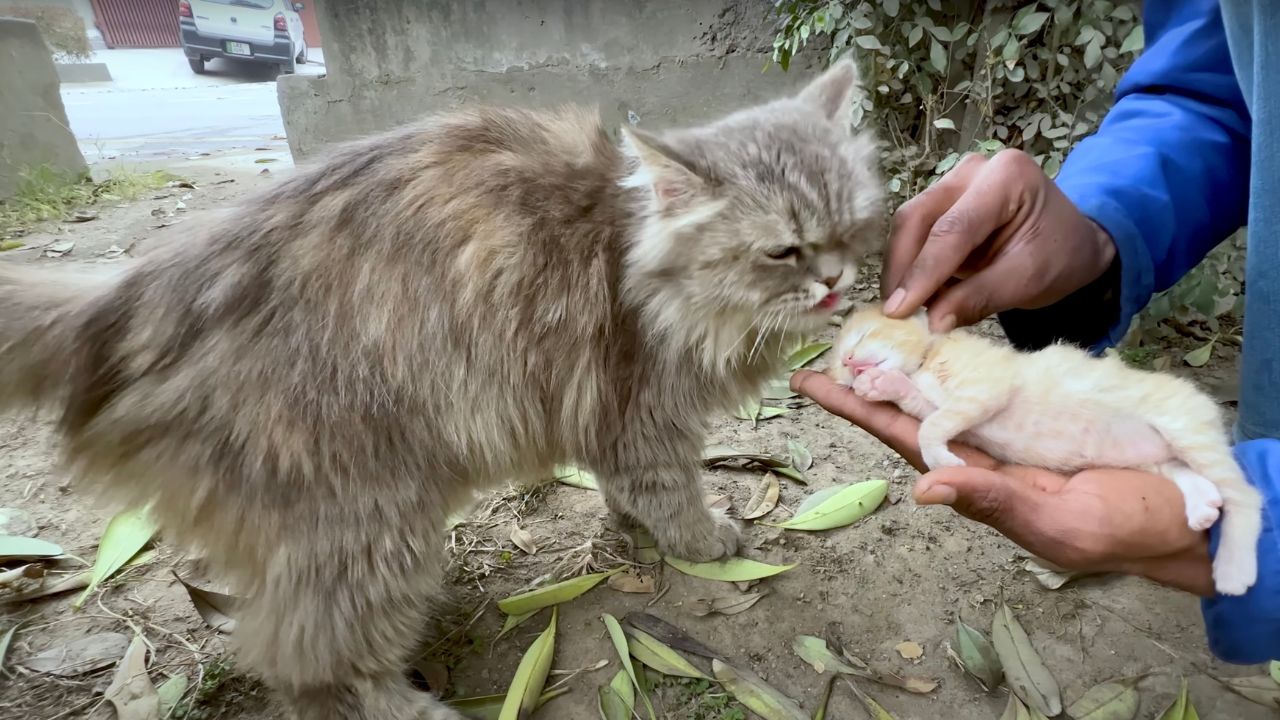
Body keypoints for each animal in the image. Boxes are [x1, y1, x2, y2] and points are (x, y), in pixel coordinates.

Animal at [0, 61, 880, 717]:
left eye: (850, 229)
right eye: (783, 251)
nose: (838, 282)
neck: (636, 257)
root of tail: (128, 299)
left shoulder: (605, 414)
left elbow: (623, 492)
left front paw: (628, 529)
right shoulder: (642, 411)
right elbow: (671, 493)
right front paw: (704, 540)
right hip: (368, 523)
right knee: (314, 667)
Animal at [829, 304, 1259, 591]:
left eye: (863, 336)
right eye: (836, 365)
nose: (848, 361)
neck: (928, 358)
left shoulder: (986, 386)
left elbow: (932, 426)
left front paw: (940, 459)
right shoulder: (945, 401)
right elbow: (923, 408)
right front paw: (881, 386)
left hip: (1186, 428)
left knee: (1246, 496)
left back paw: (1234, 571)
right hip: (1158, 459)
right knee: (1189, 474)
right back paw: (1203, 506)